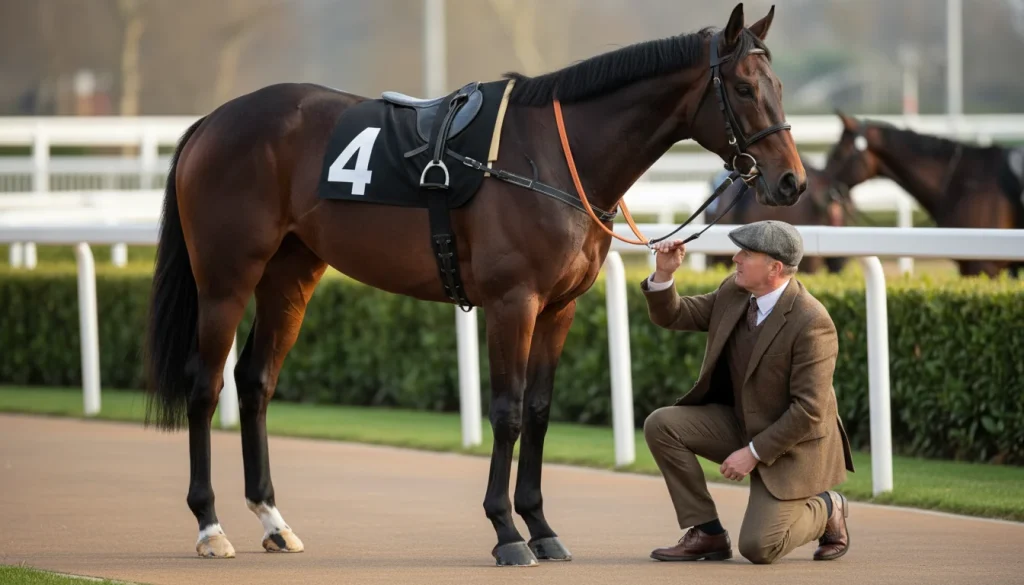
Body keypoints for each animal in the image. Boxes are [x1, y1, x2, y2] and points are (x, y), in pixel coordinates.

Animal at [142, 3, 806, 567]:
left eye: (777, 86)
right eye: (743, 88)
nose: (791, 182)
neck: (553, 157)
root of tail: (214, 121)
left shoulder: (559, 309)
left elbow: (538, 411)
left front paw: (541, 528)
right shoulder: (512, 304)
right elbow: (507, 412)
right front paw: (507, 533)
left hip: (290, 276)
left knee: (256, 382)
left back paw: (273, 521)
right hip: (226, 279)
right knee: (205, 385)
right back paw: (210, 526)